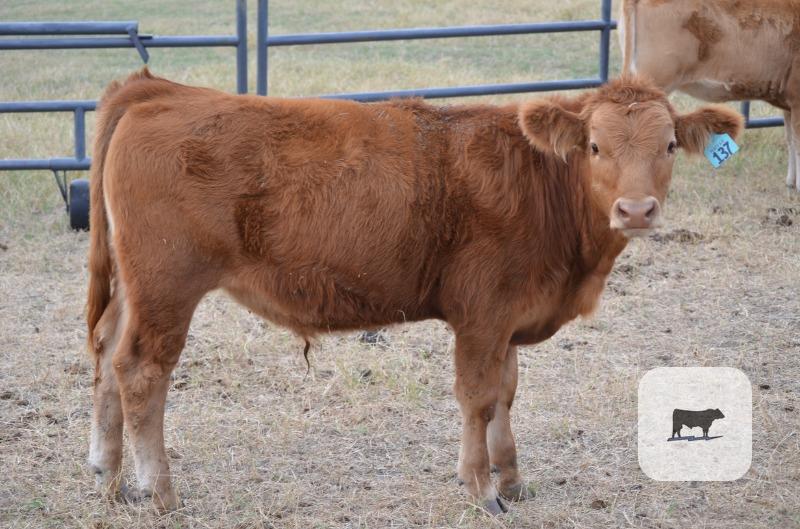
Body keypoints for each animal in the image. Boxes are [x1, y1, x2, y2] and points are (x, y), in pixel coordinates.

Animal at [86, 69, 742, 514]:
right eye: (596, 146)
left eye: (669, 145)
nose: (636, 210)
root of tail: (159, 89)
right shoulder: (482, 312)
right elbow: (478, 397)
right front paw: (481, 489)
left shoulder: (508, 320)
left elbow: (506, 395)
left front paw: (511, 478)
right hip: (168, 287)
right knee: (141, 371)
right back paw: (159, 490)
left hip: (134, 289)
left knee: (106, 355)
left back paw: (108, 476)